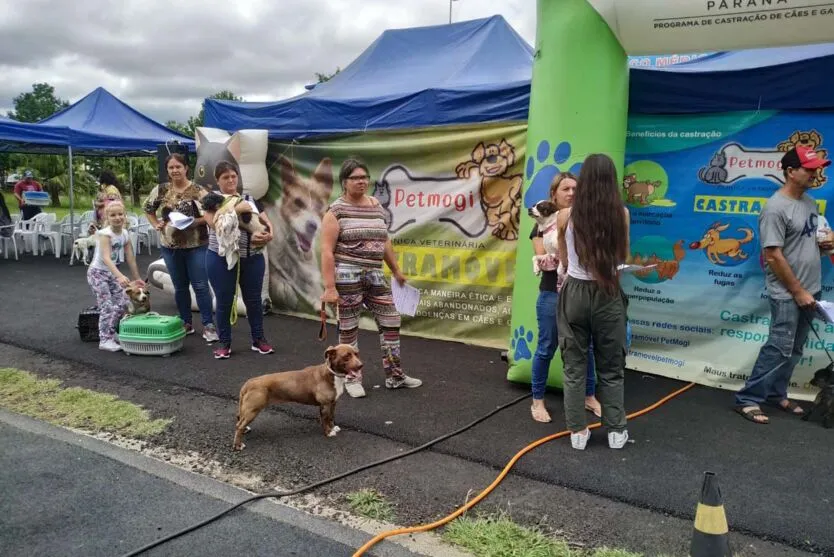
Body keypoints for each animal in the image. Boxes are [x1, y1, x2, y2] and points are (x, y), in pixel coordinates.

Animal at [231, 340, 360, 450]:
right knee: (239, 426)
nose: (361, 365)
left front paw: (333, 427)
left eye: (356, 354)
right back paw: (238, 445)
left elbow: (331, 417)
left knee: (239, 420)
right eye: (347, 356)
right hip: (253, 410)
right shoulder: (325, 405)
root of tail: (248, 383)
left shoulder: (333, 403)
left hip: (247, 409)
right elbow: (326, 419)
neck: (332, 374)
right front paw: (329, 432)